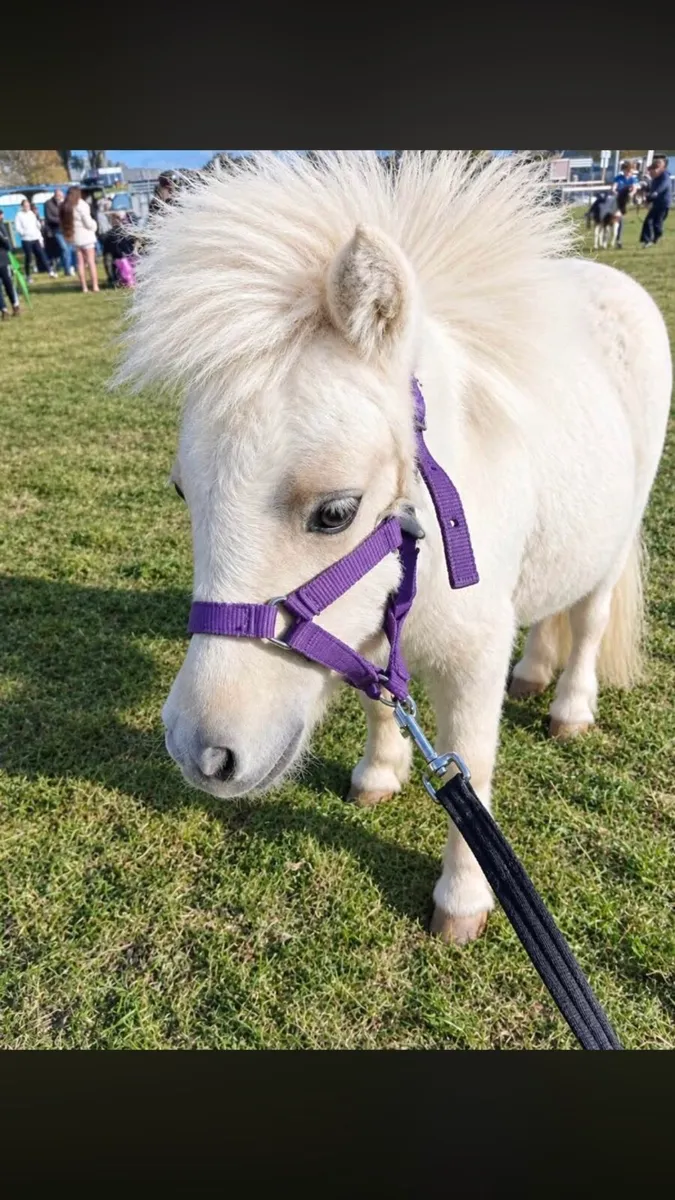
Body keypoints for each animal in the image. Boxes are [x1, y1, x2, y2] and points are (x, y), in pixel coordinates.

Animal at [115, 151, 671, 947]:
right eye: (182, 492)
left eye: (336, 511)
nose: (203, 754)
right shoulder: (370, 627)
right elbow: (380, 703)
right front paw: (378, 775)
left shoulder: (473, 658)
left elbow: (474, 766)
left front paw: (463, 901)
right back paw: (533, 672)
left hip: (619, 531)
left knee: (588, 620)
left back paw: (568, 705)